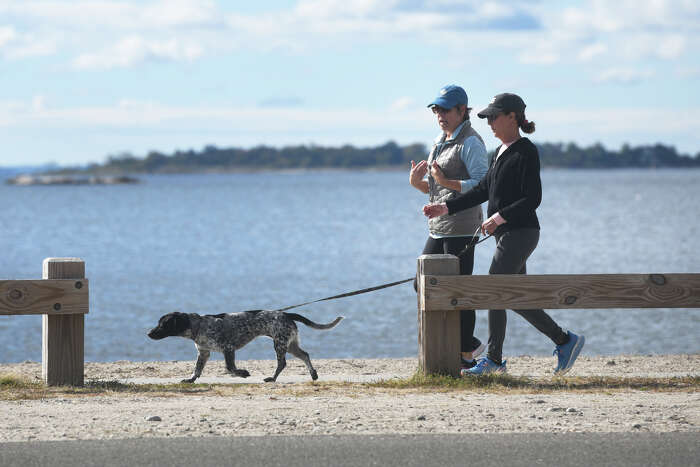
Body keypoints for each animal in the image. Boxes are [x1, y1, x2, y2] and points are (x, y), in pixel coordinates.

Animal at [148, 310, 344, 384]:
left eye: (163, 324)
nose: (148, 333)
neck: (199, 326)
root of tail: (286, 313)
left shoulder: (228, 348)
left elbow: (230, 368)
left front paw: (243, 373)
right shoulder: (204, 353)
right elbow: (197, 370)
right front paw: (191, 380)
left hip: (280, 344)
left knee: (282, 364)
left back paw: (272, 378)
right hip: (290, 345)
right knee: (305, 355)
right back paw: (313, 374)